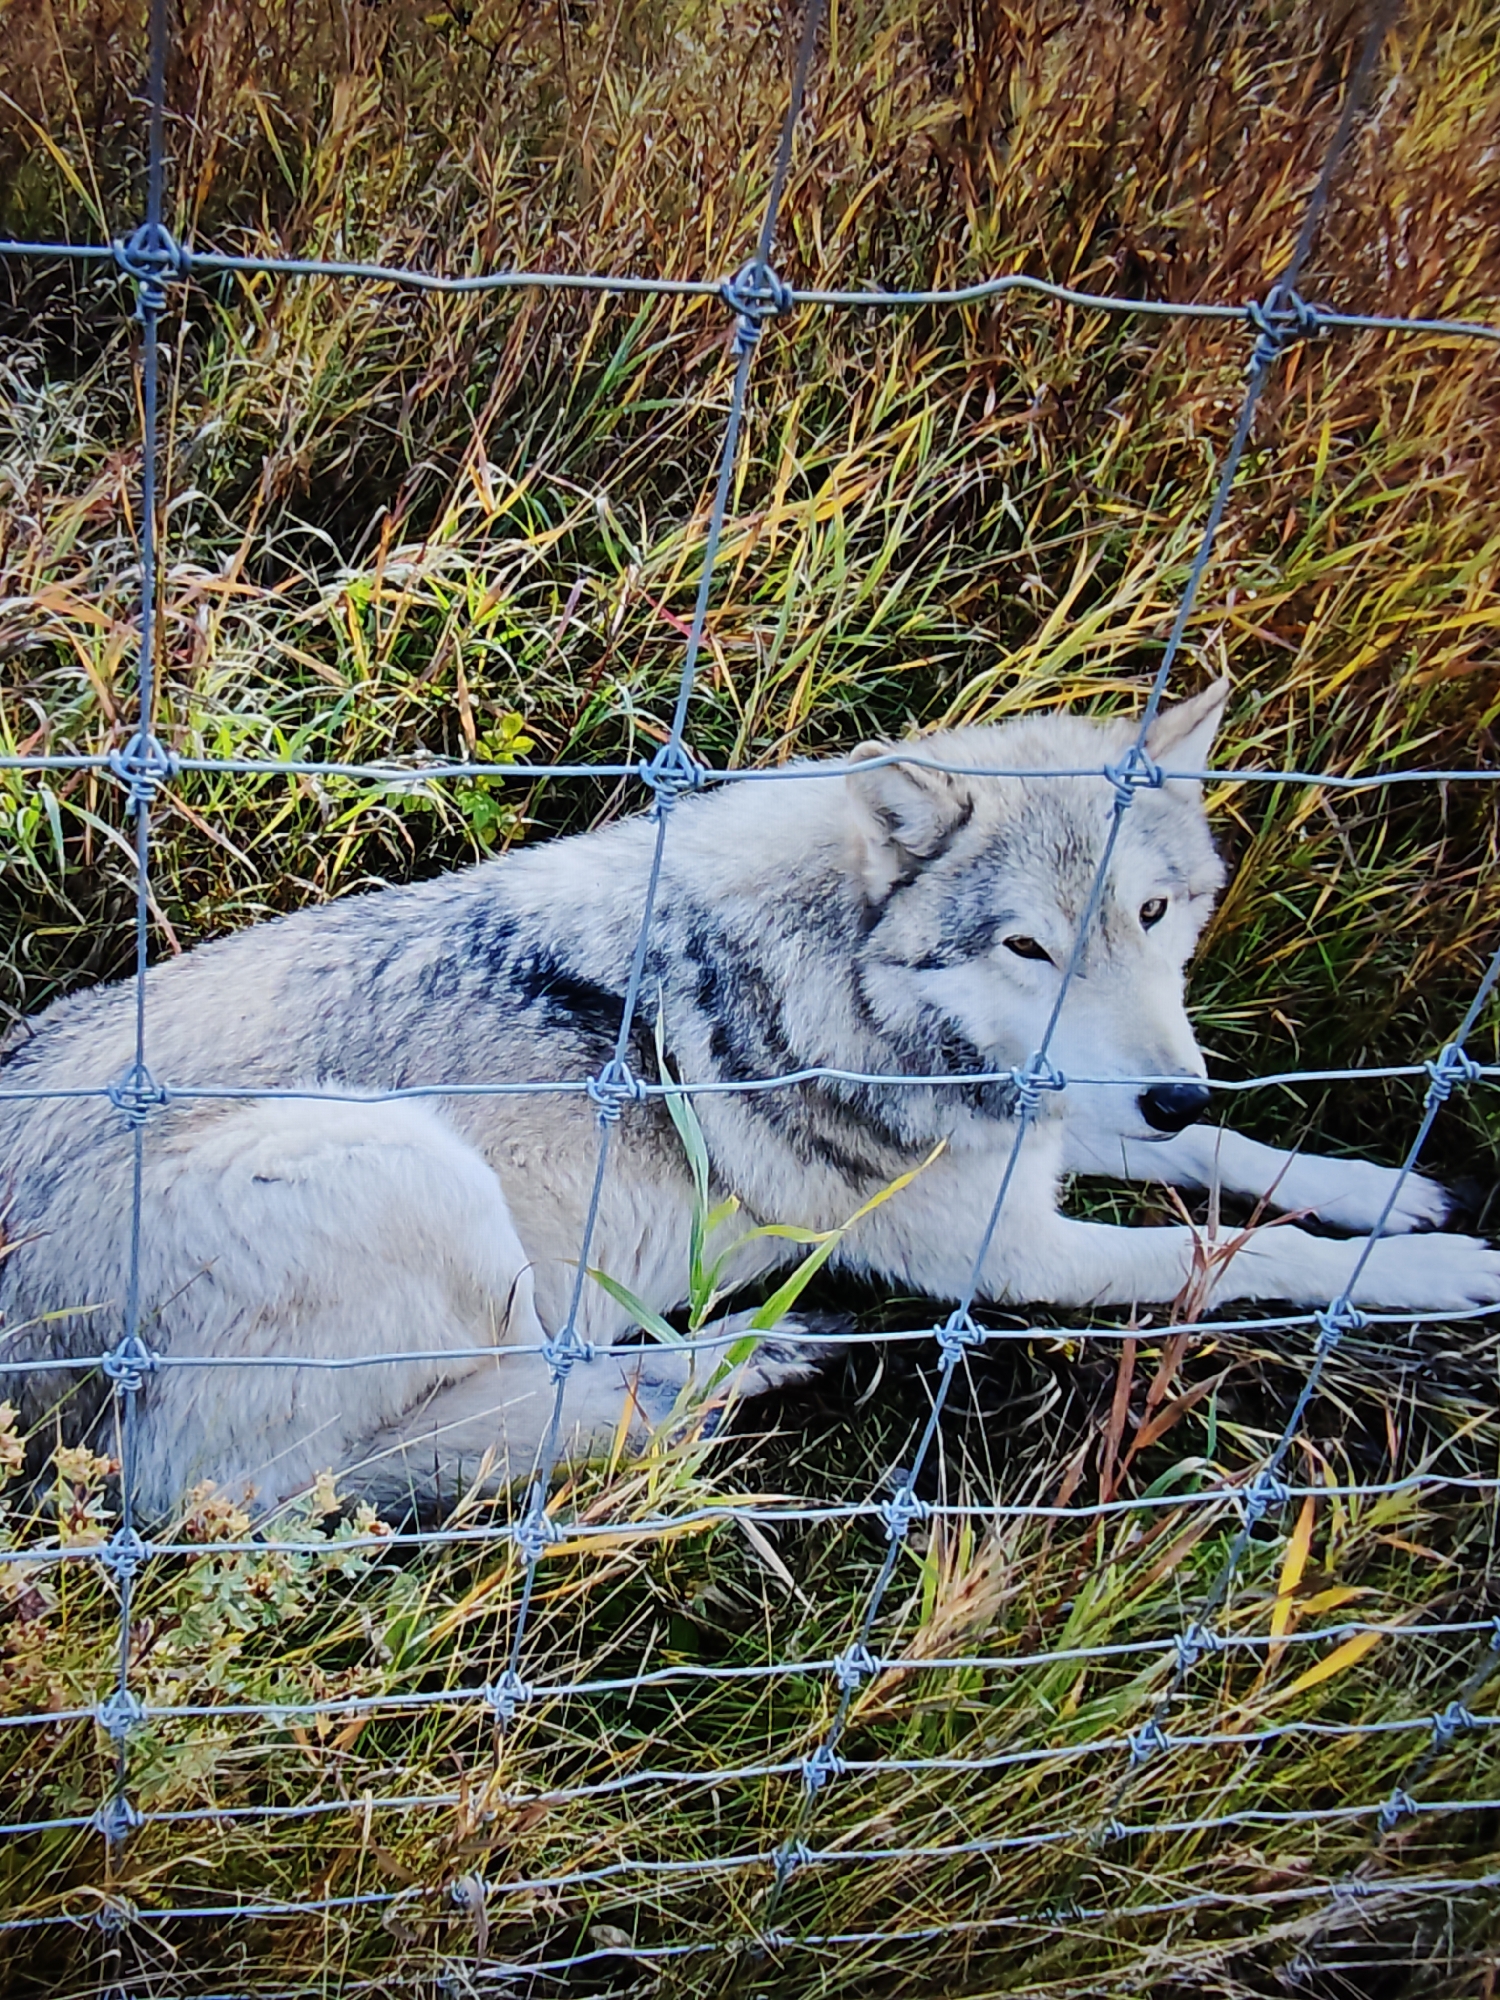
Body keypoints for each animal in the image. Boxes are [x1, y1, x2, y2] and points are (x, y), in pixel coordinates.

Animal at [1, 678, 1495, 1517]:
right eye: (1028, 946)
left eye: (1153, 912)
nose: (1171, 1093)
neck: (852, 987)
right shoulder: (1006, 1257)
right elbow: (1244, 1256)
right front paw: (1442, 1272)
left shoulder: (1064, 1136)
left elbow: (1243, 1160)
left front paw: (1395, 1189)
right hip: (418, 1176)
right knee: (314, 1478)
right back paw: (724, 1364)